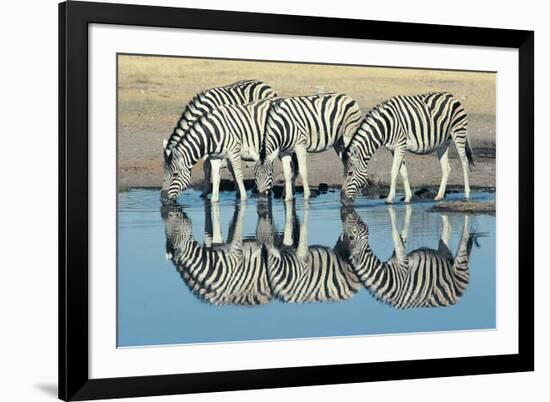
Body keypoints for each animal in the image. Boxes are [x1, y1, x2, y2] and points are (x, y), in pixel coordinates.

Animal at [340, 91, 474, 204]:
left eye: (350, 173)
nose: (342, 200)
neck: (385, 127)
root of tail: (452, 96)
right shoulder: (394, 148)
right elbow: (403, 172)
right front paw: (408, 197)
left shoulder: (400, 145)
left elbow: (394, 171)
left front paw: (389, 198)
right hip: (443, 143)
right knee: (446, 168)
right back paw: (439, 196)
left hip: (459, 133)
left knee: (464, 162)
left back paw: (467, 195)